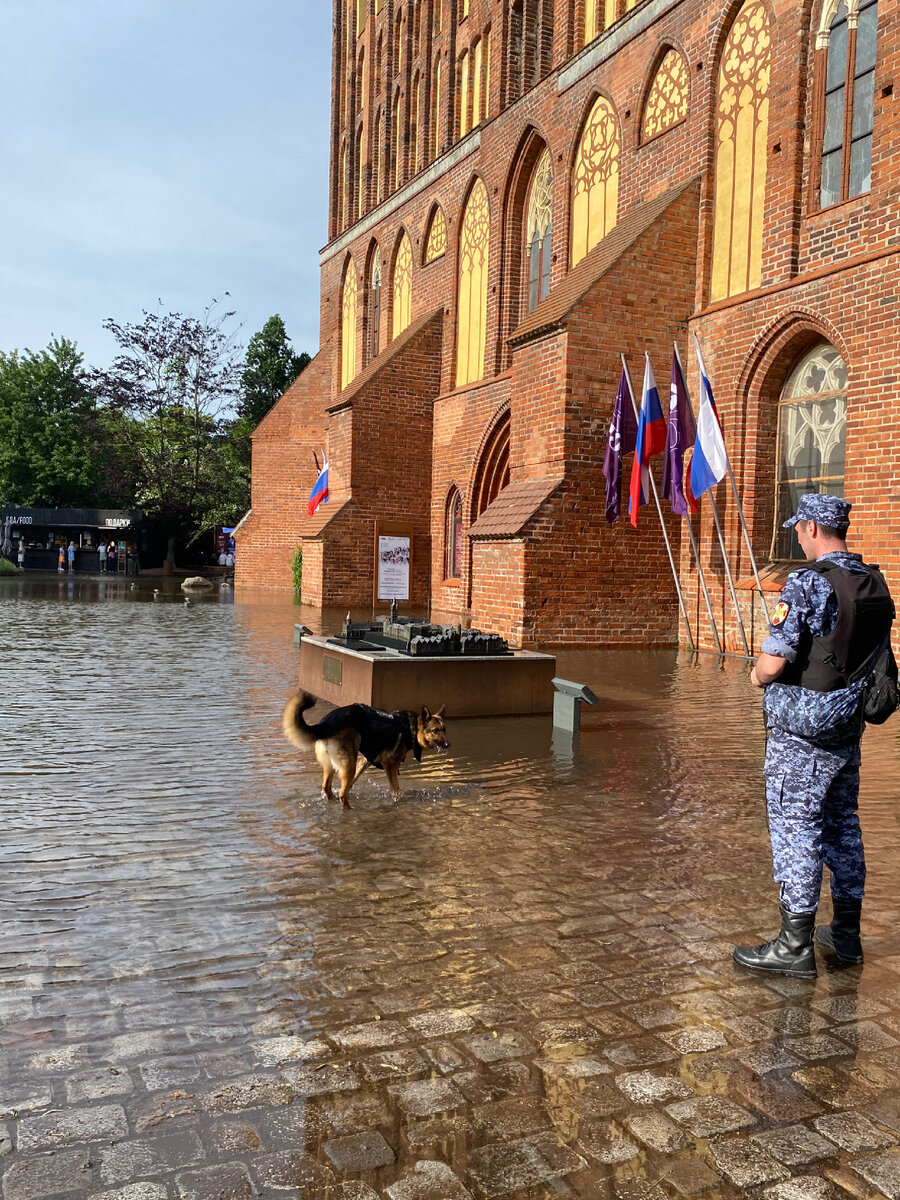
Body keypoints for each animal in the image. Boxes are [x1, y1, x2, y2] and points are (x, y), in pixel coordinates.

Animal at [282, 691, 451, 811]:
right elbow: (396, 790)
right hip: (348, 763)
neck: (411, 728)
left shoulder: (366, 760)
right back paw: (350, 809)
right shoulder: (390, 765)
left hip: (333, 765)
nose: (448, 744)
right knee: (342, 794)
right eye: (435, 731)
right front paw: (396, 802)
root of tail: (326, 723)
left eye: (444, 730)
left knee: (327, 787)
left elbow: (351, 784)